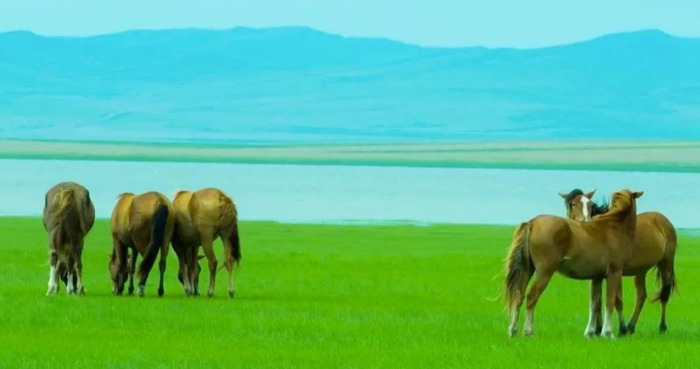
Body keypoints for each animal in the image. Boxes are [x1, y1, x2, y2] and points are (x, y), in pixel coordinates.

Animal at [504, 188, 644, 338]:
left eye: (590, 204)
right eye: (573, 204)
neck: (614, 226)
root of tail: (532, 223)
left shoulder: (597, 277)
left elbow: (595, 303)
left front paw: (590, 333)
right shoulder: (614, 273)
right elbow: (610, 301)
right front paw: (607, 333)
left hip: (527, 269)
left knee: (519, 295)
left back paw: (513, 330)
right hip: (544, 271)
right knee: (531, 297)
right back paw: (528, 332)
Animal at [556, 188, 680, 334]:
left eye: (590, 205)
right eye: (573, 204)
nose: (584, 221)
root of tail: (663, 220)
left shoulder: (616, 272)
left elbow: (616, 300)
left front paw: (620, 328)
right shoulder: (597, 274)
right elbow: (597, 300)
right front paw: (598, 328)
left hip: (665, 264)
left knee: (665, 293)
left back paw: (661, 326)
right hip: (641, 271)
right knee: (641, 296)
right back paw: (631, 326)